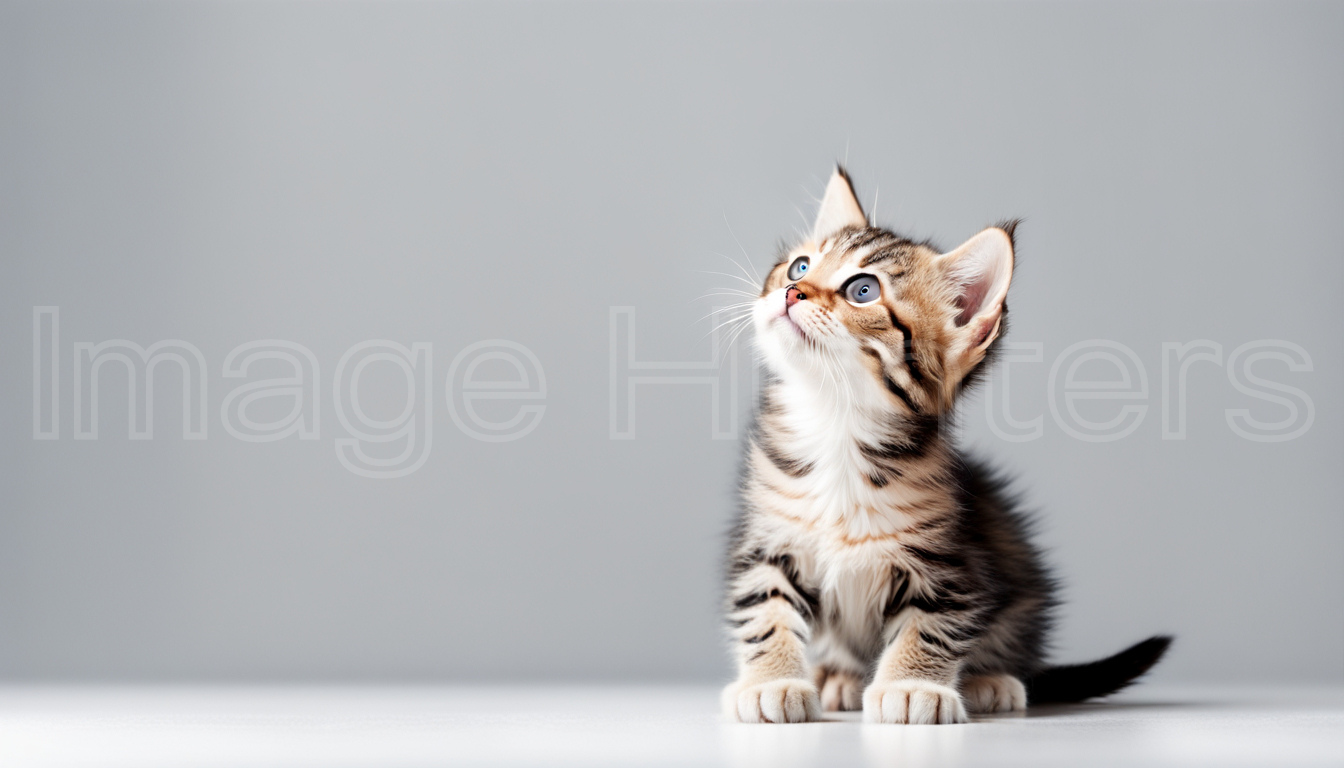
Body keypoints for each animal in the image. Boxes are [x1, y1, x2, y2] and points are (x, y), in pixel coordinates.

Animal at [720, 168, 1171, 726]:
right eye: (799, 265)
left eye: (863, 290)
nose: (791, 290)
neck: (836, 426)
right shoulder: (770, 540)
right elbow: (767, 611)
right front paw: (772, 681)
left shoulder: (948, 563)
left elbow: (930, 625)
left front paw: (913, 686)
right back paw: (838, 675)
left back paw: (988, 681)